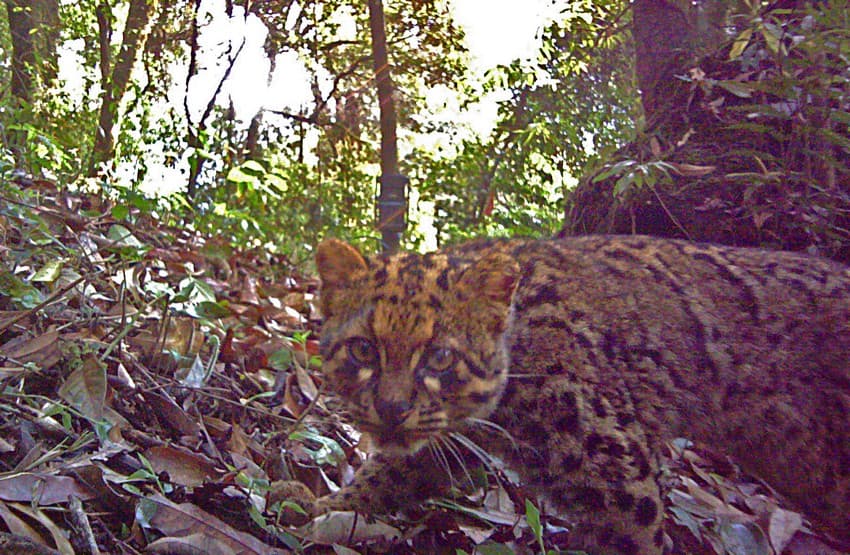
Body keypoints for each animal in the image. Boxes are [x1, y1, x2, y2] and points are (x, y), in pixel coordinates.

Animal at [286, 236, 848, 555]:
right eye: (364, 349)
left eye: (440, 358)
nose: (391, 409)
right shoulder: (458, 434)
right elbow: (397, 470)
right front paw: (324, 505)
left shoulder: (621, 475)